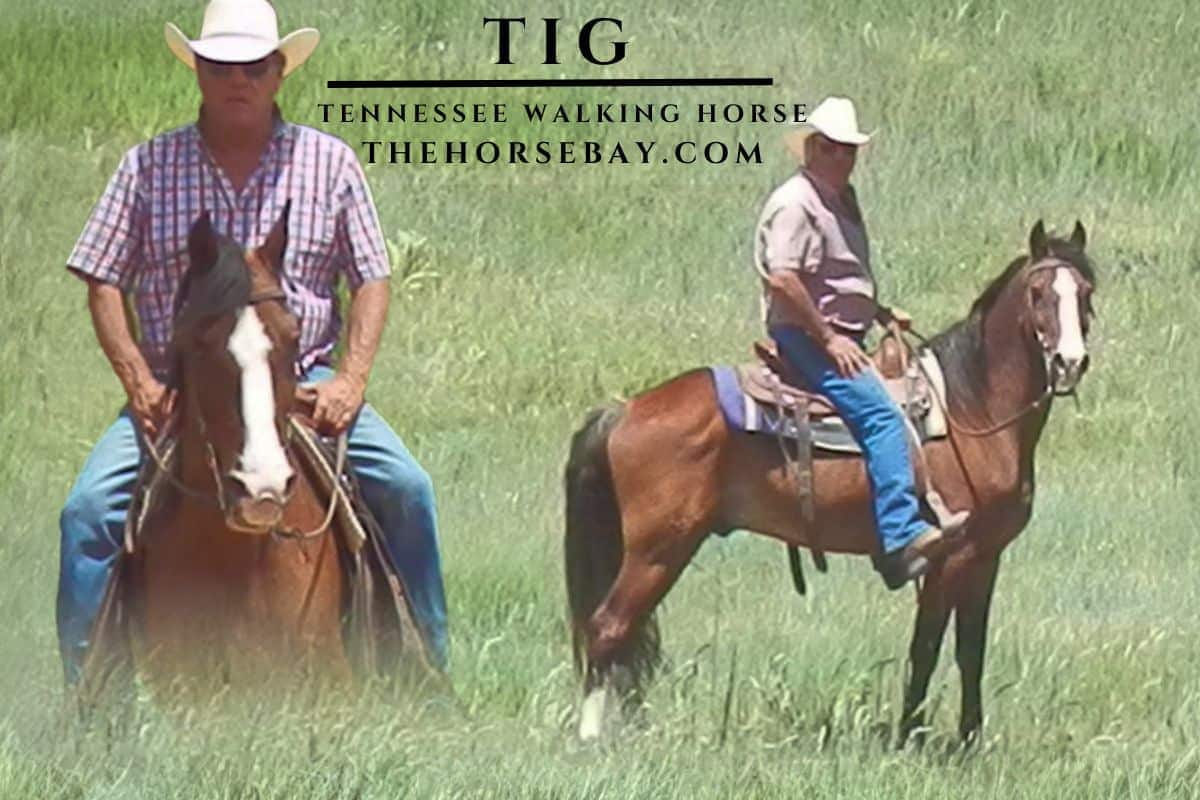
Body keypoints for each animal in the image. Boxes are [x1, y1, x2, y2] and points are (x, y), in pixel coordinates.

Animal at [564, 220, 1097, 744]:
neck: (971, 412)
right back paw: (590, 739)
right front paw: (909, 738)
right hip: (658, 550)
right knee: (608, 627)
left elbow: (970, 652)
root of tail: (624, 410)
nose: (1070, 362)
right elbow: (925, 648)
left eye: (1086, 292)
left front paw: (969, 743)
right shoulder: (950, 557)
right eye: (1037, 292)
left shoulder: (986, 557)